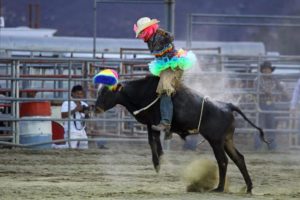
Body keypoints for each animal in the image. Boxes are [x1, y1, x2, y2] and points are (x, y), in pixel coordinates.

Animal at [95, 75, 268, 194]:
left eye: (105, 93)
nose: (95, 108)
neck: (142, 92)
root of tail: (228, 105)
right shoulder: (152, 125)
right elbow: (154, 142)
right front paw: (160, 160)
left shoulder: (154, 123)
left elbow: (153, 141)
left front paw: (157, 164)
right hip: (227, 140)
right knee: (239, 158)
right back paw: (248, 187)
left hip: (216, 140)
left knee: (223, 161)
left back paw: (219, 188)